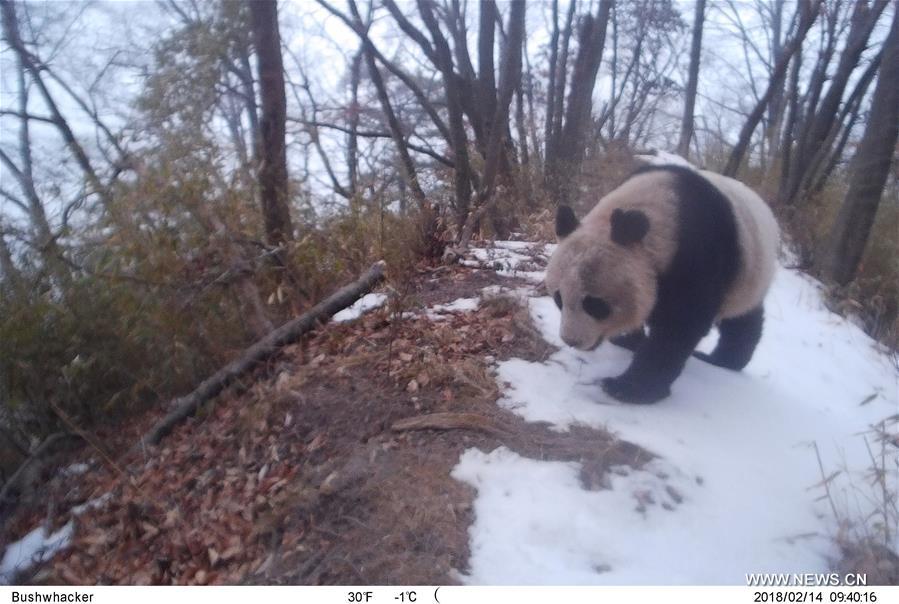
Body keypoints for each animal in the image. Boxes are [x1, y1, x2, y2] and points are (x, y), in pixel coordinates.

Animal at [540, 163, 780, 404]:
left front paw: (626, 388)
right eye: (559, 299)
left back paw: (723, 359)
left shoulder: (699, 256)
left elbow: (679, 326)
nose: (572, 340)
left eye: (595, 304)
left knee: (741, 319)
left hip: (749, 273)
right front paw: (628, 340)